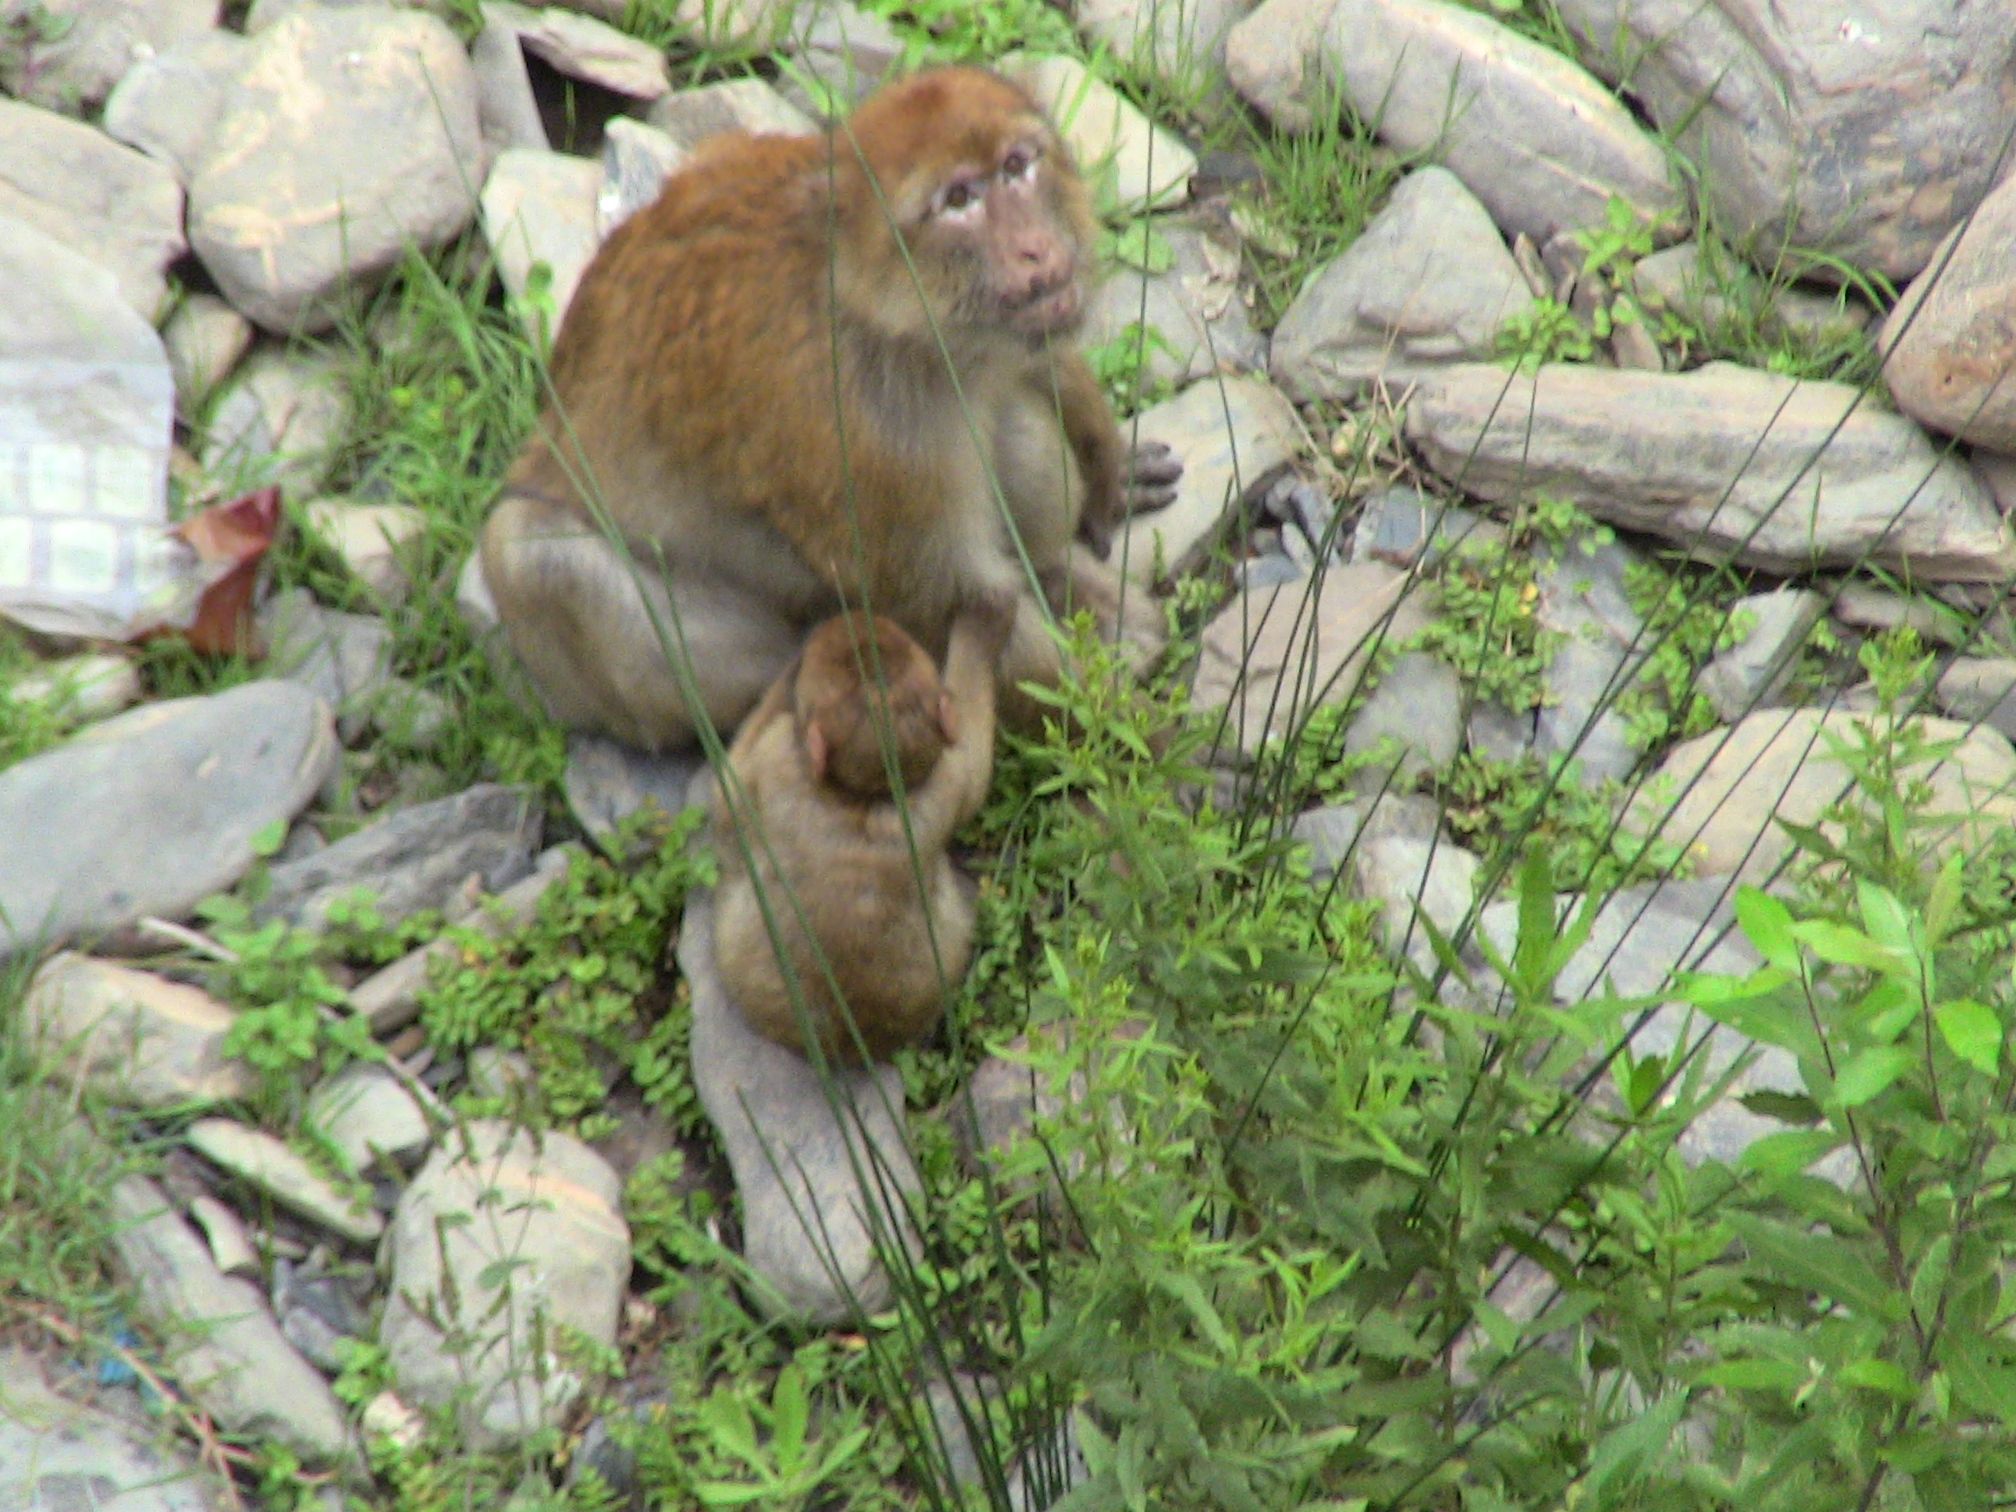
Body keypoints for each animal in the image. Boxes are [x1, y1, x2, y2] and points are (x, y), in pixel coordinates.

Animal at [478, 65, 1180, 754]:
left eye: (1016, 166)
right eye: (958, 200)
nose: (1035, 246)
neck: (890, 322)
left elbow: (1038, 365)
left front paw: (1112, 467)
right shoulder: (868, 436)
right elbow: (964, 608)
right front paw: (1132, 734)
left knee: (1016, 424)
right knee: (533, 553)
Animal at [709, 596, 1011, 1063]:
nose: (846, 616)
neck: (867, 795)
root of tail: (855, 1046)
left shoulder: (777, 754)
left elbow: (726, 798)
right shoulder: (947, 777)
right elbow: (975, 763)